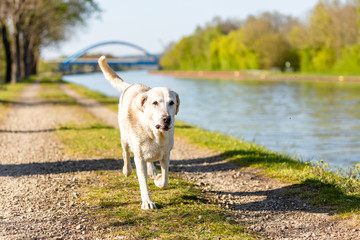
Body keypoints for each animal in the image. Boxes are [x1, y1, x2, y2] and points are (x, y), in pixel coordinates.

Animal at [97, 56, 179, 210]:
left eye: (171, 102)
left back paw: (152, 171)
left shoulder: (166, 155)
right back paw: (127, 170)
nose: (167, 118)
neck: (154, 133)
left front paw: (158, 179)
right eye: (155, 103)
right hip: (124, 136)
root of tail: (132, 85)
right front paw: (147, 201)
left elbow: (165, 180)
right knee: (126, 152)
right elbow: (143, 182)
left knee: (150, 161)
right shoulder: (139, 158)